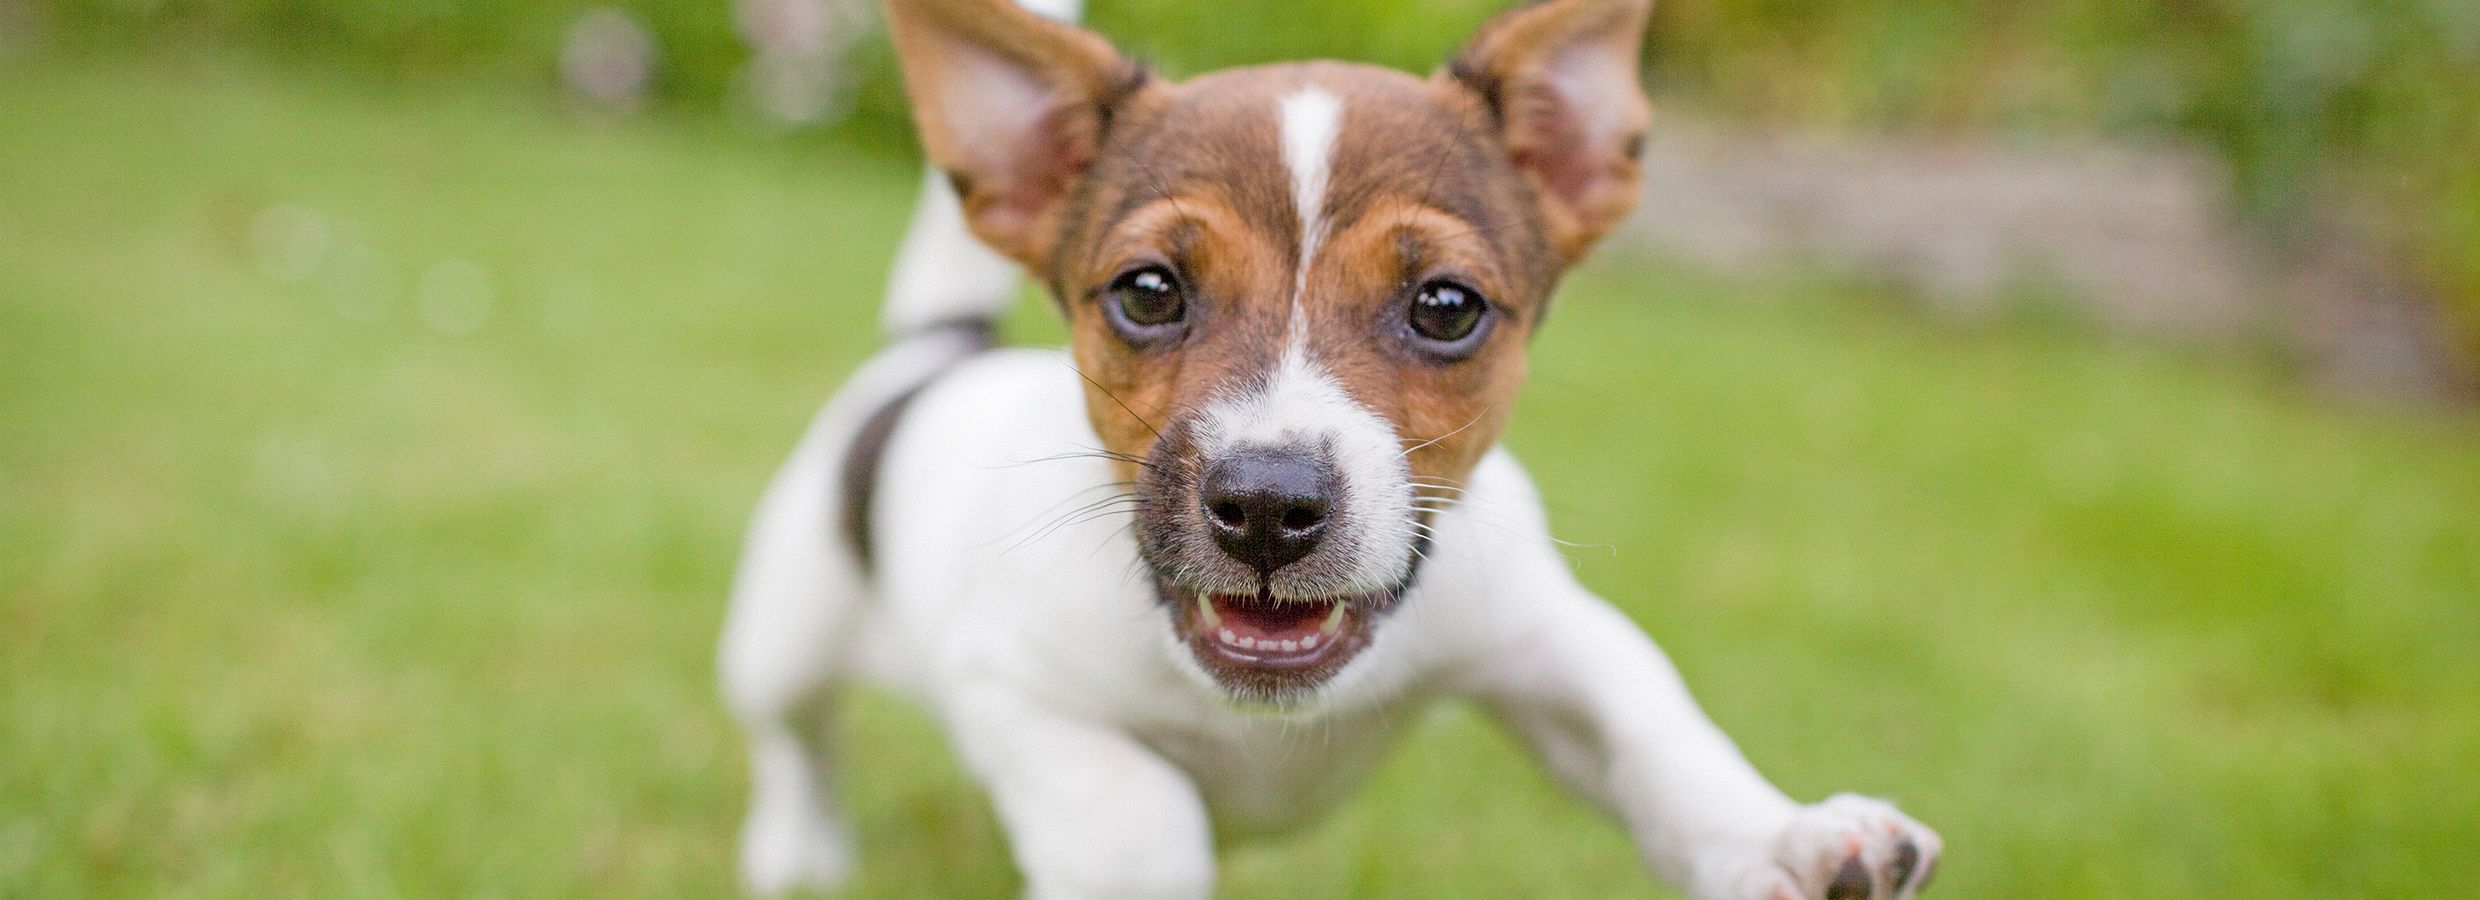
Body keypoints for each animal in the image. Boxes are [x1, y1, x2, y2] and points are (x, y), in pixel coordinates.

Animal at [724, 1, 1944, 897]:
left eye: (1446, 306)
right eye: (1146, 292)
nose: (1266, 506)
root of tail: (936, 348)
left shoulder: (1547, 637)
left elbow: (1656, 734)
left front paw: (1784, 838)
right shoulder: (1019, 696)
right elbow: (1137, 820)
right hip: (783, 629)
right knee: (796, 739)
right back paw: (797, 852)